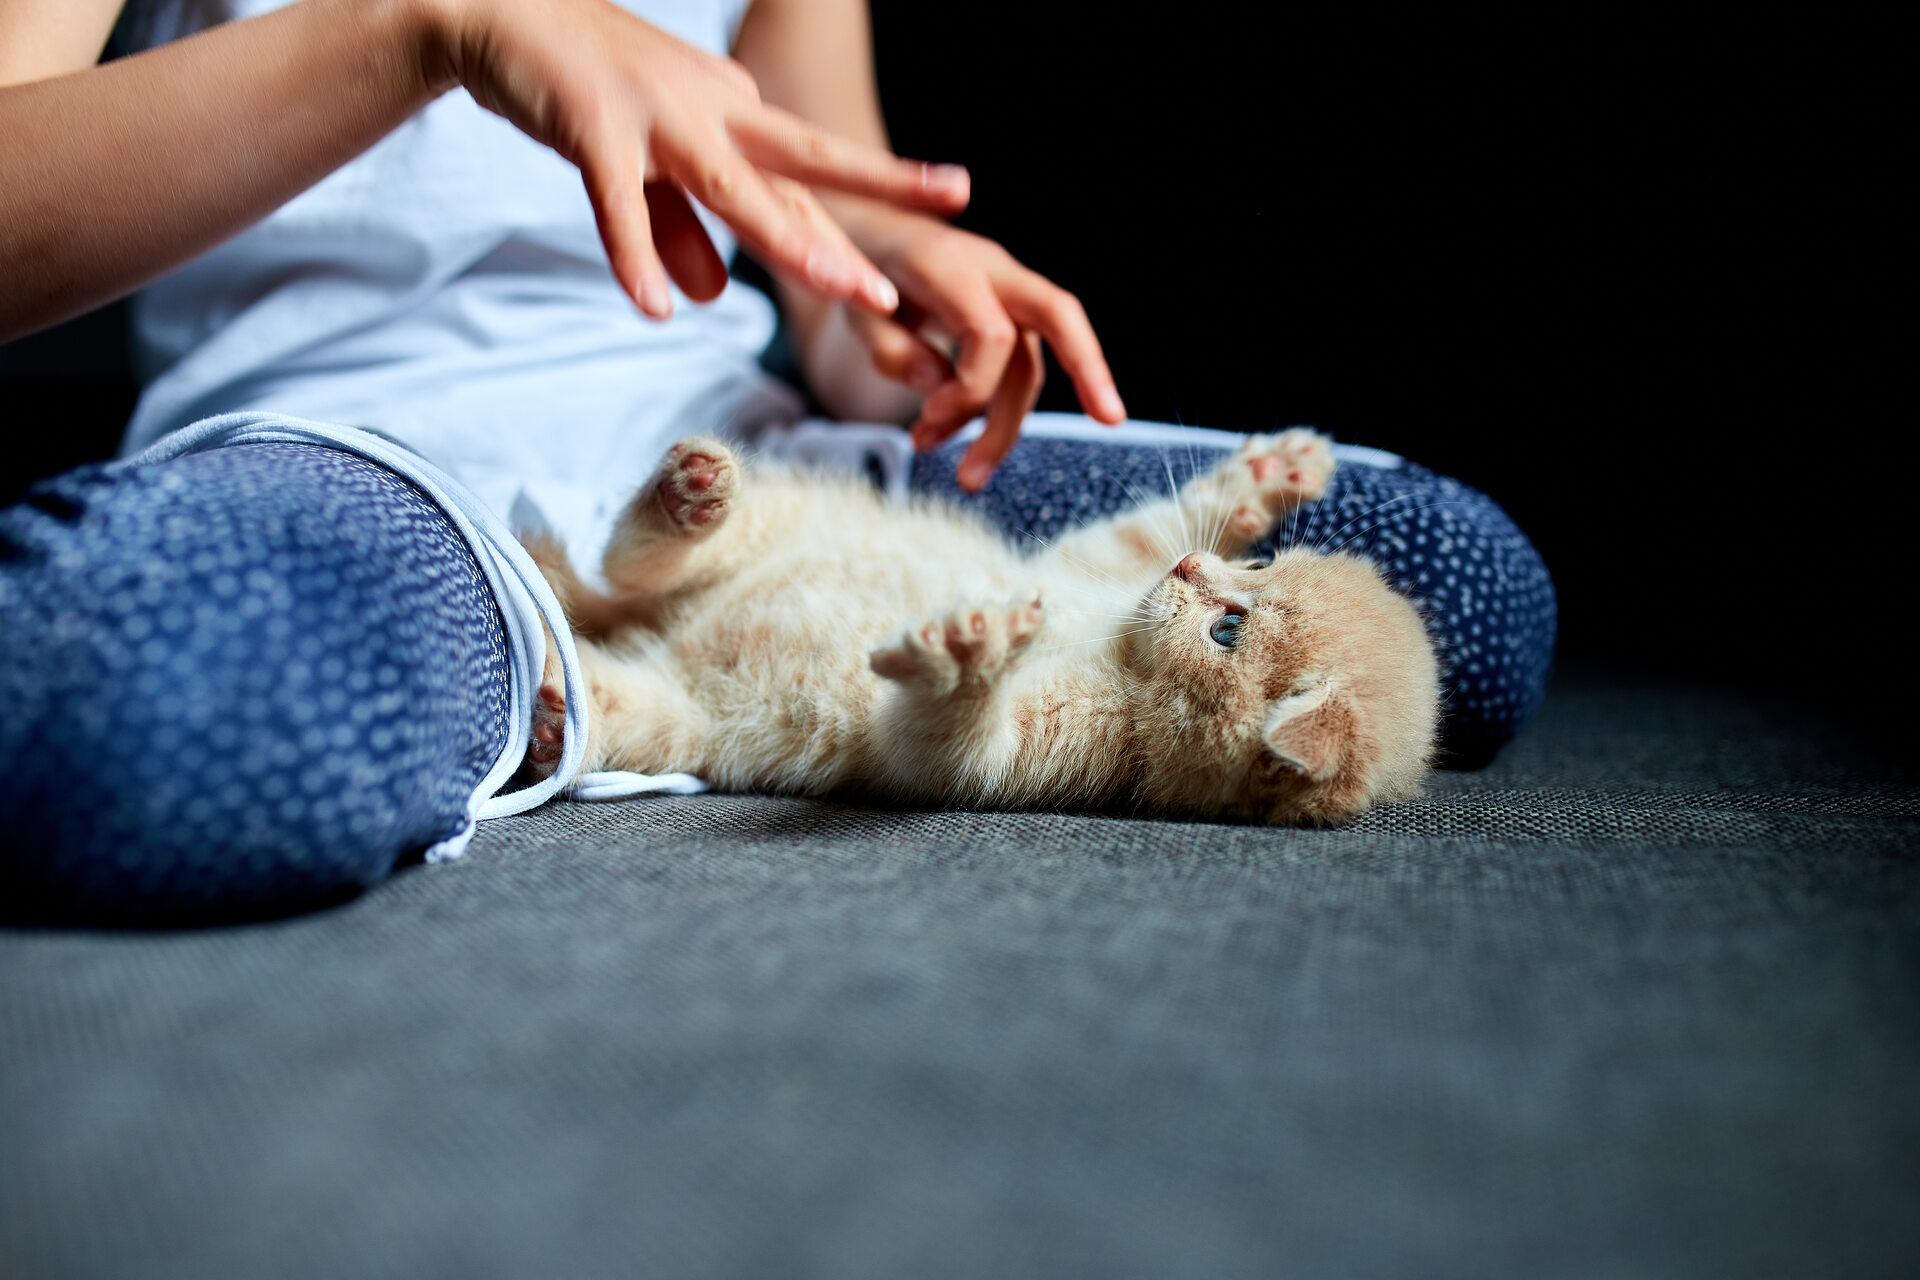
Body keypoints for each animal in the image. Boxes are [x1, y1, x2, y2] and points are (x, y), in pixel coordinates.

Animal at [518, 429, 1436, 825]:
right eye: (1257, 567)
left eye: (1227, 633)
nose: (1189, 569)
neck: (1111, 637)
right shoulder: (1086, 559)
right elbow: (1149, 522)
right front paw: (1267, 472)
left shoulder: (1010, 757)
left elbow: (948, 738)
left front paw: (971, 652)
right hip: (769, 532)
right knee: (637, 561)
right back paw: (691, 496)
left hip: (674, 719)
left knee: (610, 649)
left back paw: (554, 703)